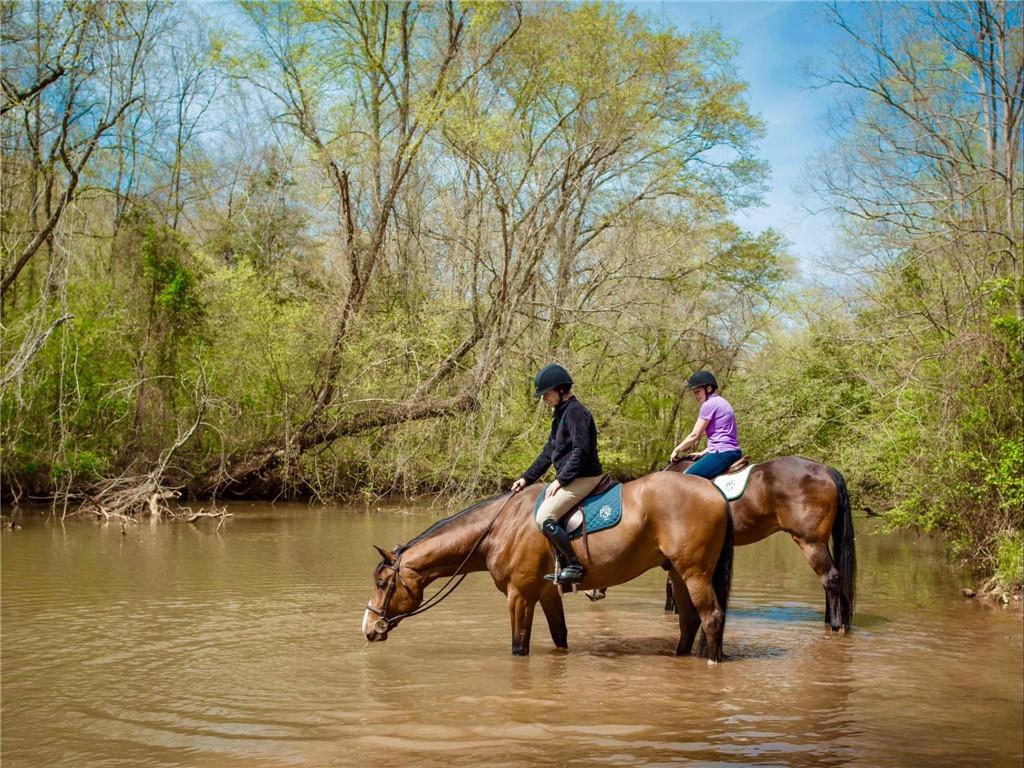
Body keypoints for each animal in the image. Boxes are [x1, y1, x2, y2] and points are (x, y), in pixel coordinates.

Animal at [364, 473, 733, 663]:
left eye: (382, 583)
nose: (368, 629)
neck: (500, 529)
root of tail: (713, 489)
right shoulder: (545, 594)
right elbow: (560, 637)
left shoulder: (519, 596)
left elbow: (519, 647)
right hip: (677, 574)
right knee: (689, 622)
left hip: (694, 573)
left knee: (711, 618)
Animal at [663, 456, 856, 630]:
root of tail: (827, 470)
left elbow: (672, 585)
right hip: (820, 542)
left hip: (811, 543)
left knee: (830, 578)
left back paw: (835, 625)